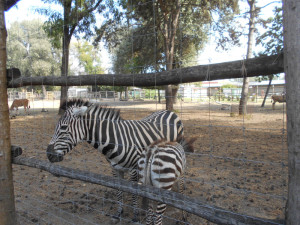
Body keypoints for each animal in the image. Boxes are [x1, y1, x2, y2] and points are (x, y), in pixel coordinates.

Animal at [47, 99, 184, 221]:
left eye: (64, 127)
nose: (48, 154)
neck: (116, 140)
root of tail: (168, 111)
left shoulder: (133, 169)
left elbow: (134, 192)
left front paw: (135, 215)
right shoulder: (115, 169)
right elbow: (119, 191)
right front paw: (119, 213)